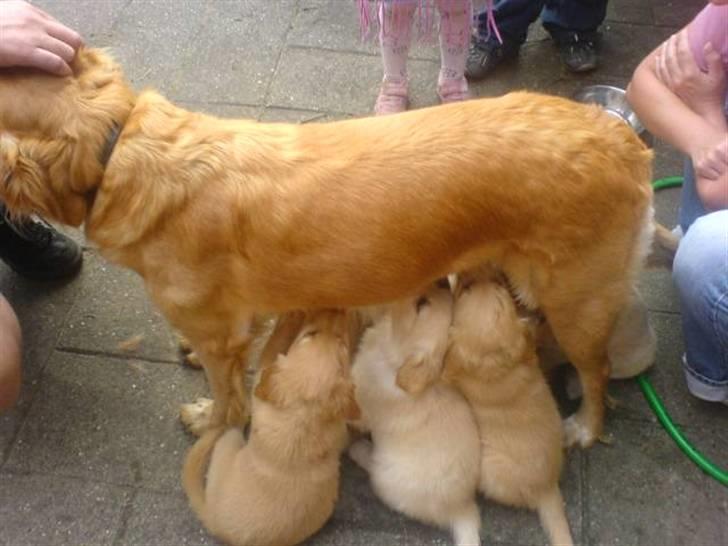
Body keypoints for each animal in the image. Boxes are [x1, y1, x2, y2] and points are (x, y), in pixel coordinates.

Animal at [1, 47, 660, 446]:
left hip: (577, 299)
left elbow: (228, 394)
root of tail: (619, 136)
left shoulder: (222, 339)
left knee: (596, 370)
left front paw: (210, 420)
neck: (119, 149)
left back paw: (584, 425)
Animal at [183, 308, 360, 544]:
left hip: (227, 446)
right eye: (311, 334)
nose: (337, 310)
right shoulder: (340, 429)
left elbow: (272, 347)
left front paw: (291, 317)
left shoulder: (262, 381)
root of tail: (213, 522)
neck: (302, 417)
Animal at [348, 280, 484, 544]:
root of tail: (462, 508)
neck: (393, 360)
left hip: (385, 474)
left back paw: (359, 450)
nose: (442, 280)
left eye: (421, 304)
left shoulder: (362, 406)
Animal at [444, 268, 576, 544]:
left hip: (487, 466)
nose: (486, 271)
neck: (498, 368)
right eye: (499, 283)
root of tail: (548, 488)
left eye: (466, 290)